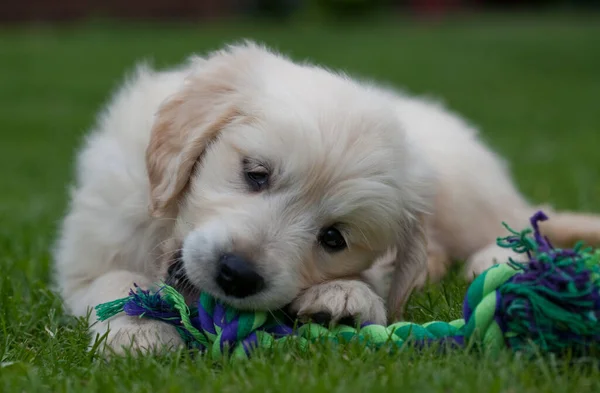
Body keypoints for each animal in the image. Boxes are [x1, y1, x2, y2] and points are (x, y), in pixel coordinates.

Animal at [52, 42, 600, 352]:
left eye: (333, 238)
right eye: (255, 174)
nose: (238, 274)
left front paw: (345, 296)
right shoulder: (92, 248)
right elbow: (116, 280)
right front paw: (142, 331)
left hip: (467, 191)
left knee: (511, 223)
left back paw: (497, 258)